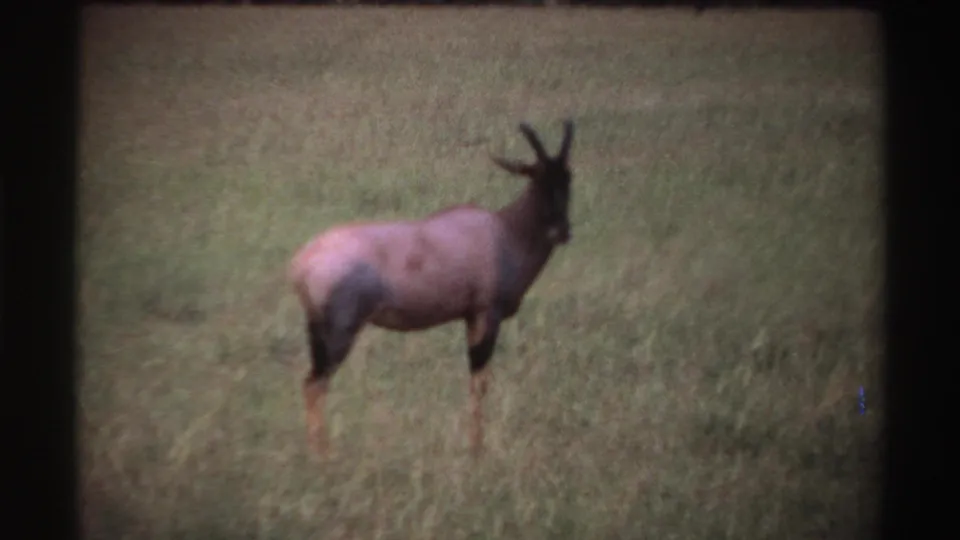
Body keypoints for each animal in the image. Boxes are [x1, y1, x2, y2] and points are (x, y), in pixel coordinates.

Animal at [289, 119, 575, 456]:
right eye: (536, 177)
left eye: (568, 178)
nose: (562, 231)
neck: (504, 232)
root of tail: (302, 263)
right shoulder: (486, 315)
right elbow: (479, 382)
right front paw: (476, 451)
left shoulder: (469, 317)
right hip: (339, 331)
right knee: (315, 384)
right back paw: (322, 457)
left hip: (316, 330)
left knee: (311, 382)